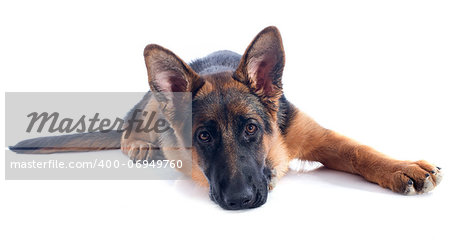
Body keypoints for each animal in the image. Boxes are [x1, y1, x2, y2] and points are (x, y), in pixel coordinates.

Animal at [10, 26, 442, 210]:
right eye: (203, 137)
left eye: (251, 128)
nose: (240, 201)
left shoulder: (315, 136)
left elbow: (358, 150)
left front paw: (402, 167)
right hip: (153, 104)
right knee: (133, 119)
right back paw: (137, 143)